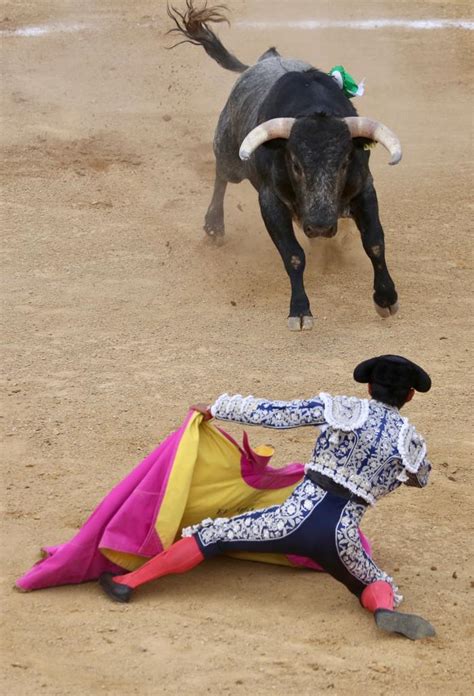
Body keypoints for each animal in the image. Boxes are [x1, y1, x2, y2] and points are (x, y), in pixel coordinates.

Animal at [168, 2, 400, 332]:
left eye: (345, 162)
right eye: (295, 164)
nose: (320, 226)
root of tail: (262, 62)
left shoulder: (364, 188)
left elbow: (375, 243)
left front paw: (386, 298)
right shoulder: (270, 201)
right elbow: (293, 255)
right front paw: (300, 311)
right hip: (230, 155)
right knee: (221, 176)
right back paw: (214, 225)